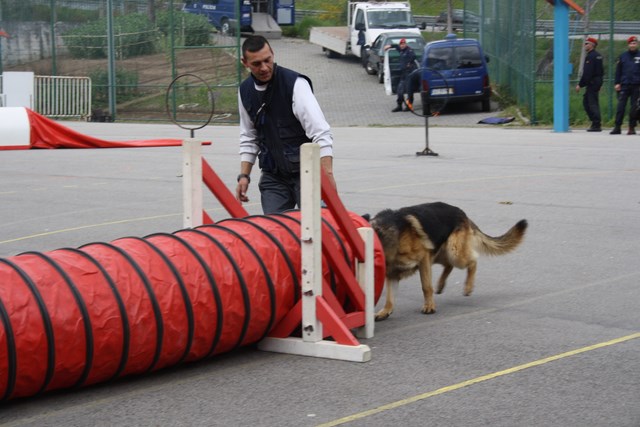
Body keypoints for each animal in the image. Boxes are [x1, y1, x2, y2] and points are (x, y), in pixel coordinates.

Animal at [362, 203, 528, 320]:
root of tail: (462, 213)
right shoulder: (393, 274)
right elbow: (390, 298)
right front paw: (385, 311)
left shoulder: (423, 259)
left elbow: (426, 287)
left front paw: (429, 306)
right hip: (440, 254)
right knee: (449, 265)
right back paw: (441, 285)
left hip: (454, 252)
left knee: (473, 261)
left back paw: (468, 287)